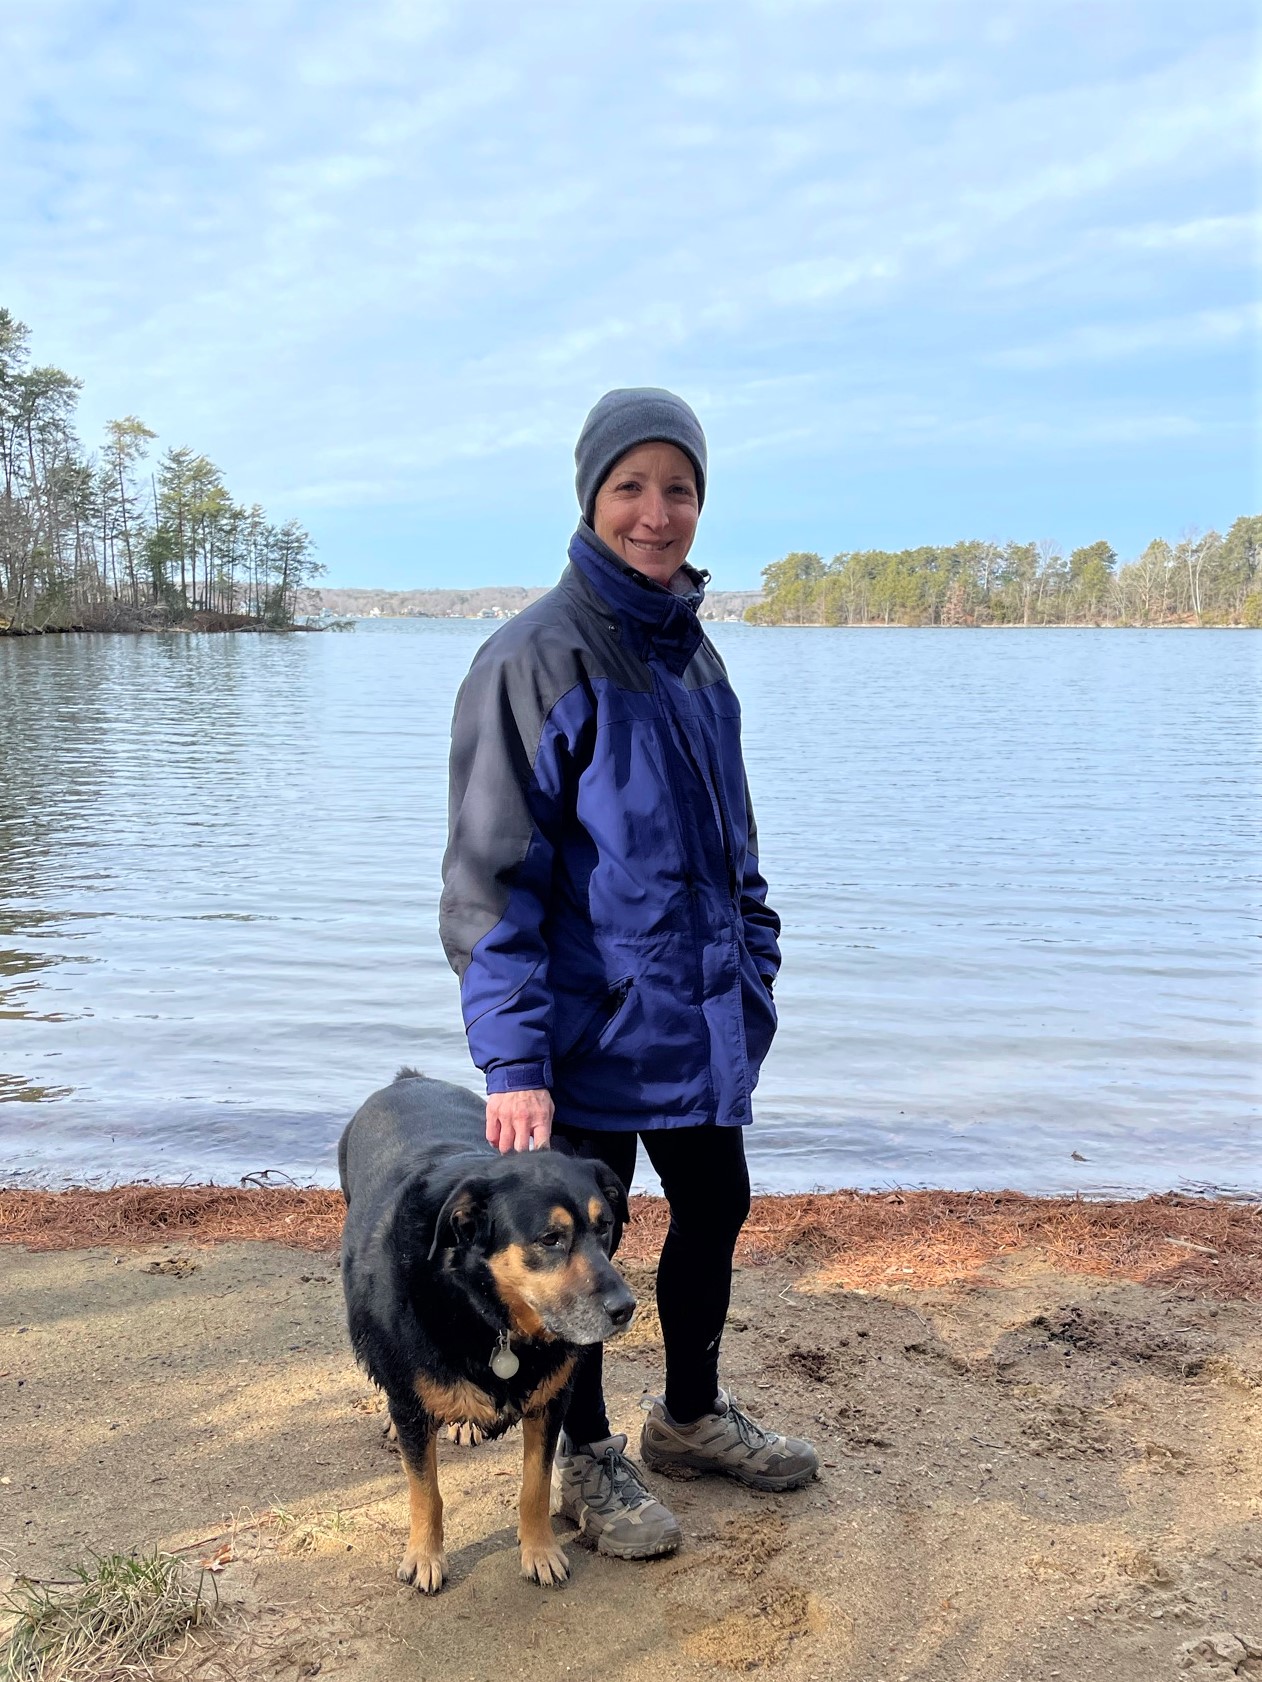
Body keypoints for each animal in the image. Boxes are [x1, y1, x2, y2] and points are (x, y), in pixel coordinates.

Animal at [341, 1069, 636, 1594]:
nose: (626, 1309)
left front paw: (539, 1550)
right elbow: (426, 1491)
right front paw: (425, 1555)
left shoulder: (551, 1399)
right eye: (550, 1239)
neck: (482, 1307)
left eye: (604, 1227)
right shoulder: (413, 1404)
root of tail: (409, 1079)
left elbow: (535, 1484)